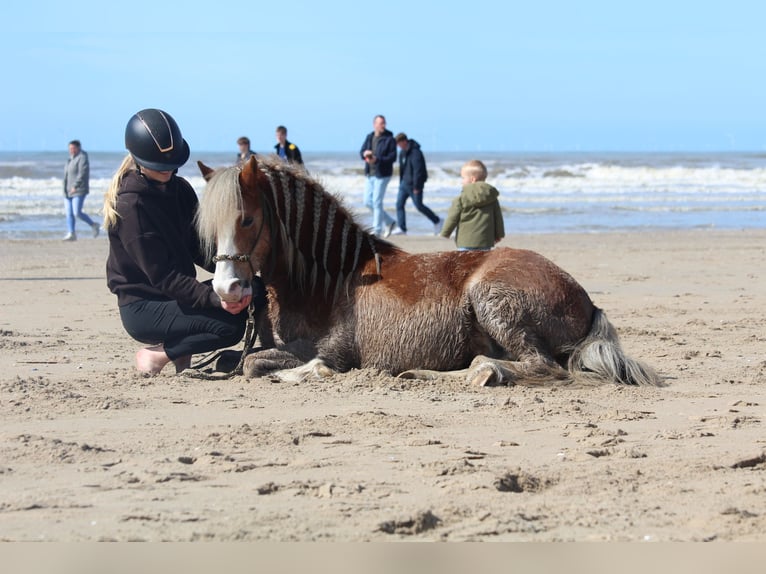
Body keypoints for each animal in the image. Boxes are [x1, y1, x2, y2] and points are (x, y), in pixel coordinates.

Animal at [195, 155, 660, 387]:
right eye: (211, 226)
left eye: (247, 220)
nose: (227, 289)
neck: (325, 281)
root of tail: (587, 301)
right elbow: (236, 359)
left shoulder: (331, 350)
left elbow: (257, 364)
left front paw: (306, 373)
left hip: (493, 302)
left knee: (543, 366)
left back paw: (483, 373)